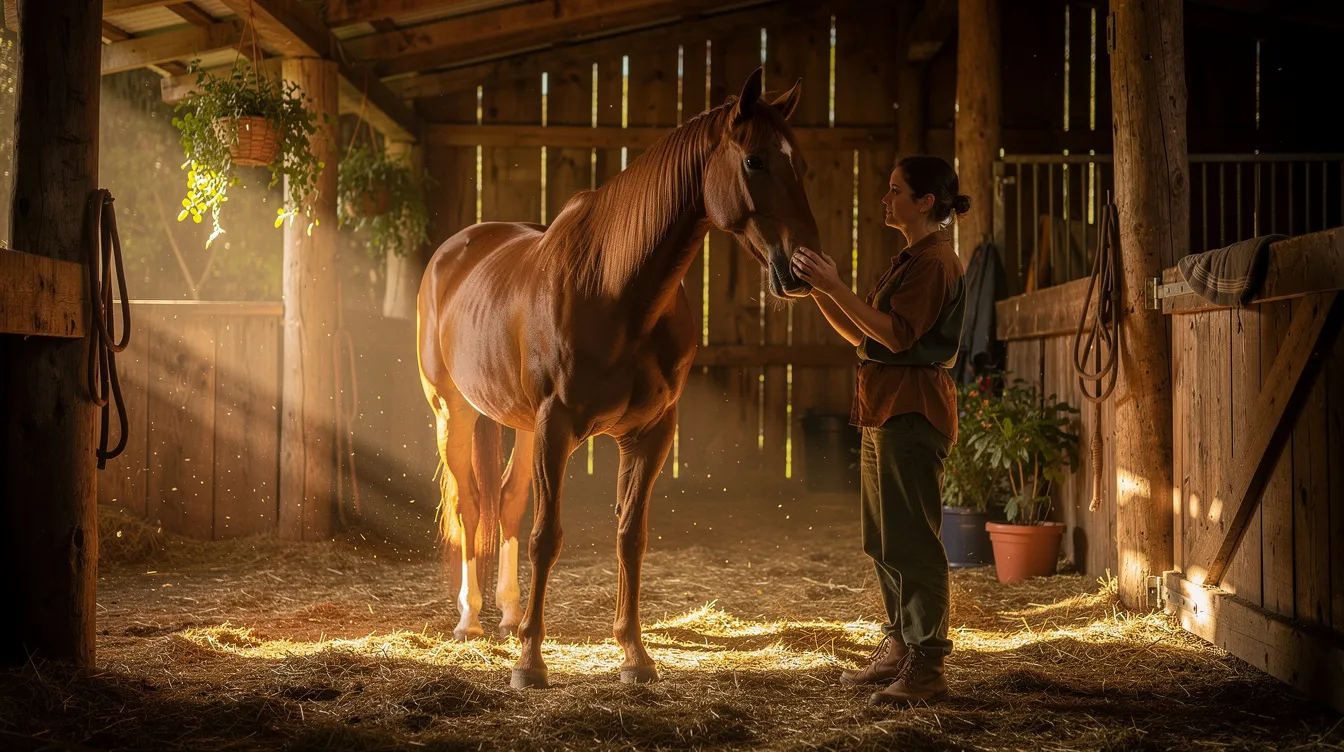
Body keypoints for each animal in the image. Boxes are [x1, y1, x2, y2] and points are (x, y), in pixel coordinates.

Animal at [416, 67, 821, 689]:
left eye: (799, 161)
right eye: (754, 161)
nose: (802, 266)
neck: (615, 286)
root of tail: (454, 251)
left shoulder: (649, 434)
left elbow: (631, 536)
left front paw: (633, 653)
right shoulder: (557, 428)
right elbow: (546, 537)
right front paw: (530, 663)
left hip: (521, 427)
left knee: (505, 502)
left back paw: (507, 612)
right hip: (452, 413)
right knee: (469, 505)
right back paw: (471, 619)